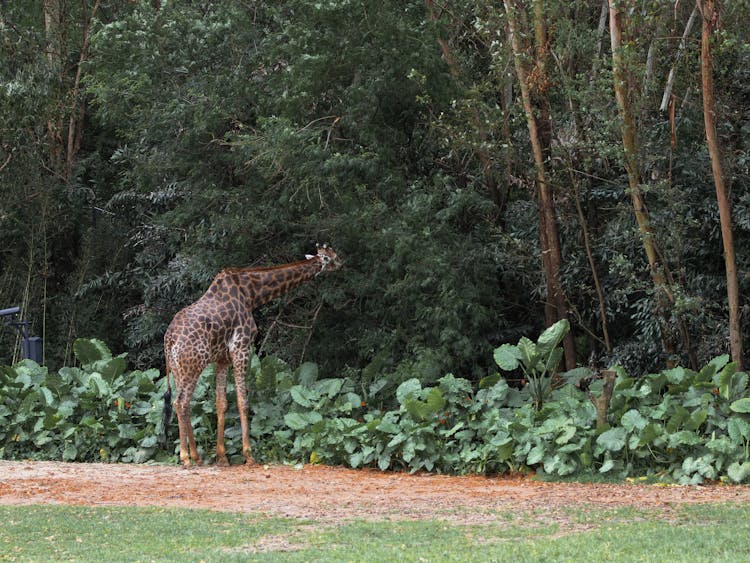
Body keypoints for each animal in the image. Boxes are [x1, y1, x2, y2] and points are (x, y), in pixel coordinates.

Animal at [165, 243, 344, 468]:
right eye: (331, 257)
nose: (342, 263)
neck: (252, 294)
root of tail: (169, 339)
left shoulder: (222, 358)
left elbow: (221, 403)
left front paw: (222, 457)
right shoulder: (241, 348)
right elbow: (243, 400)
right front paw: (249, 455)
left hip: (178, 368)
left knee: (184, 404)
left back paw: (196, 457)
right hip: (193, 365)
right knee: (180, 402)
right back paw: (186, 457)